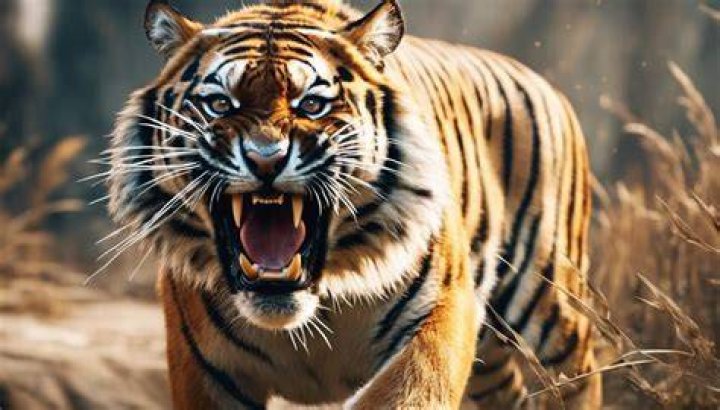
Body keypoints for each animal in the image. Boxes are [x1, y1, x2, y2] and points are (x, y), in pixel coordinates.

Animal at [107, 0, 600, 408]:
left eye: (312, 105)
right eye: (219, 103)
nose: (265, 158)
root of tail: (539, 79)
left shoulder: (442, 314)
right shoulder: (205, 369)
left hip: (546, 294)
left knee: (579, 366)